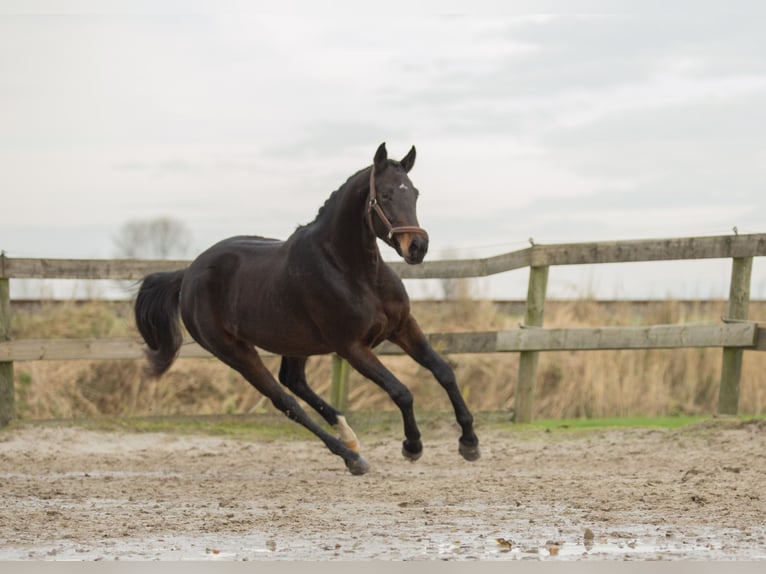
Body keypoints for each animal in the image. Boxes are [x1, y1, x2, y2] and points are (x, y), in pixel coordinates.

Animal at [132, 144, 480, 476]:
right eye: (385, 194)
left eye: (415, 192)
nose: (417, 248)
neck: (354, 271)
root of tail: (188, 274)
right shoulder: (353, 347)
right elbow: (401, 391)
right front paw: (412, 446)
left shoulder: (403, 326)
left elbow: (443, 372)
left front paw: (469, 443)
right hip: (235, 353)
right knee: (286, 401)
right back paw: (351, 457)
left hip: (294, 343)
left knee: (293, 381)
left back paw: (348, 436)